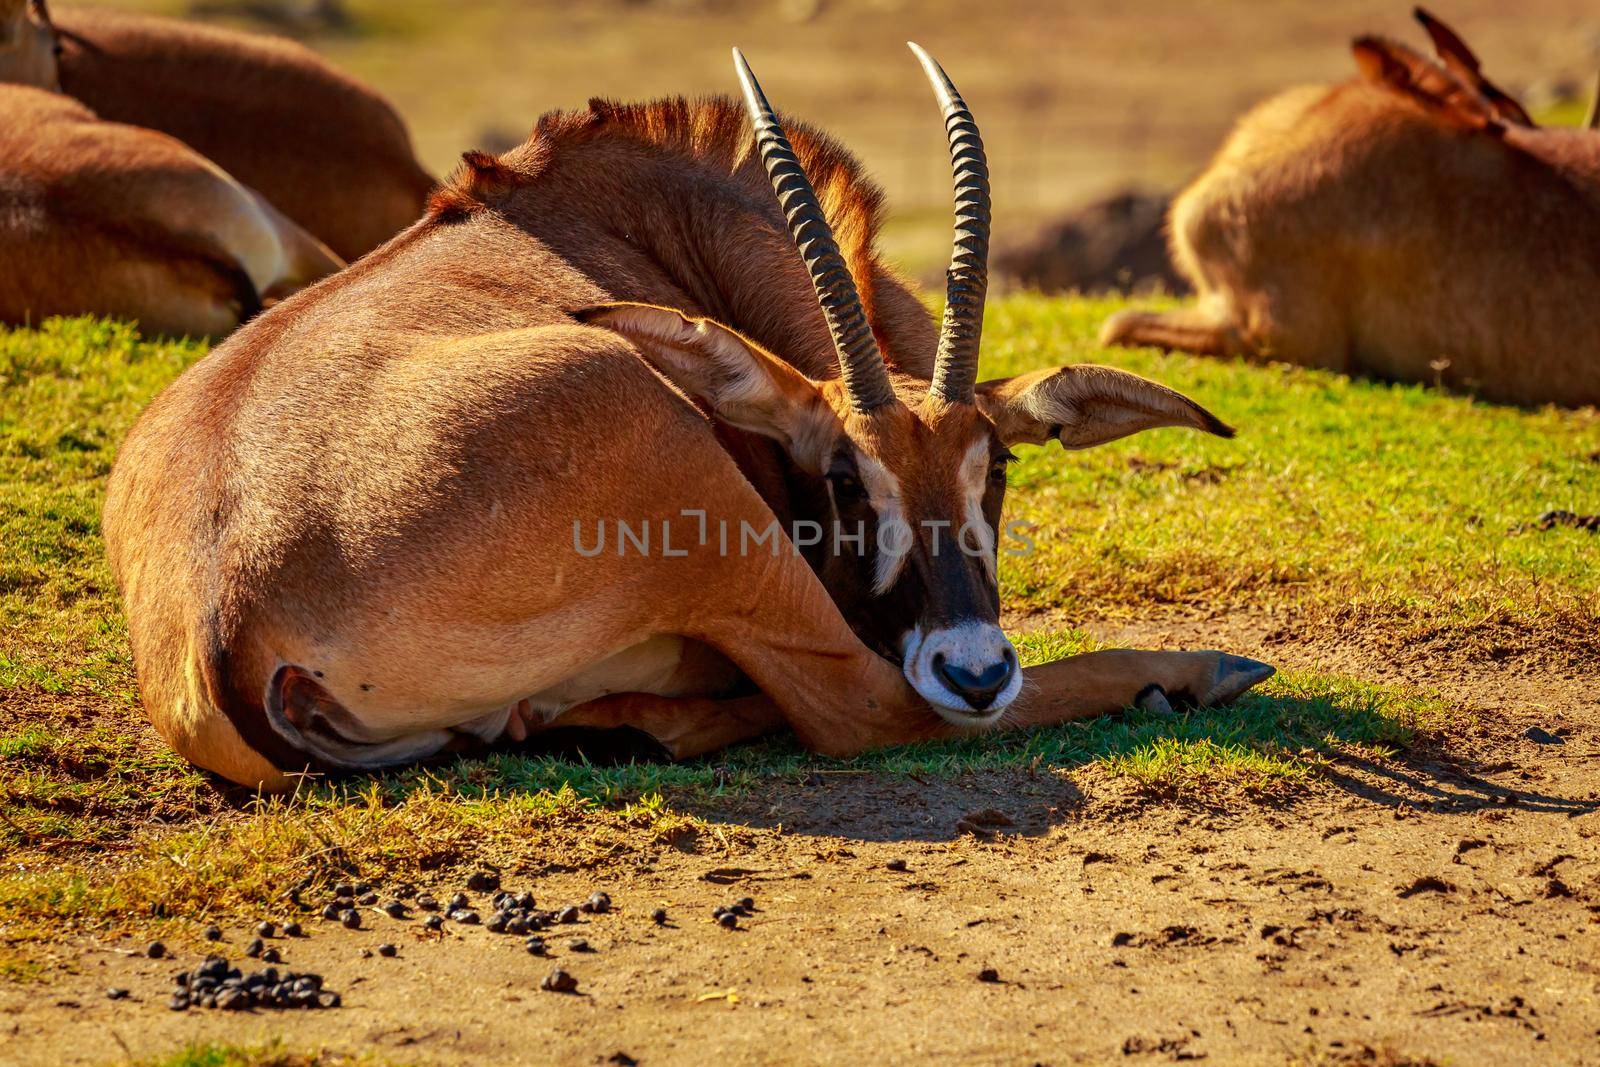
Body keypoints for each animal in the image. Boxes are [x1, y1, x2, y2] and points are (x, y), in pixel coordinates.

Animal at [103, 43, 1273, 793]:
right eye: (844, 477)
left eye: (998, 470)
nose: (976, 668)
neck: (681, 223)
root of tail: (226, 616)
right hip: (683, 473)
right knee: (864, 706)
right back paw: (1195, 670)